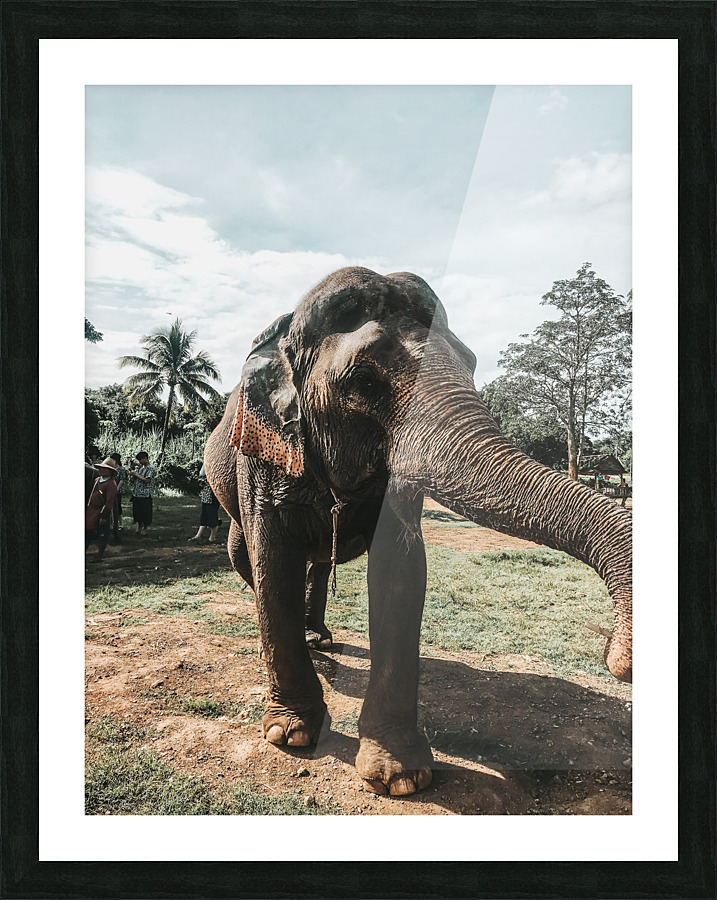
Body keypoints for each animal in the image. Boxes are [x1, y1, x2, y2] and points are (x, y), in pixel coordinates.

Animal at [205, 267, 632, 797]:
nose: (616, 654)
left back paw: (319, 637)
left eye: (471, 363)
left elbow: (399, 569)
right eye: (364, 381)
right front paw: (291, 734)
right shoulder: (262, 456)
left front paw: (399, 777)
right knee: (246, 558)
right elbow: (273, 561)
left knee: (316, 563)